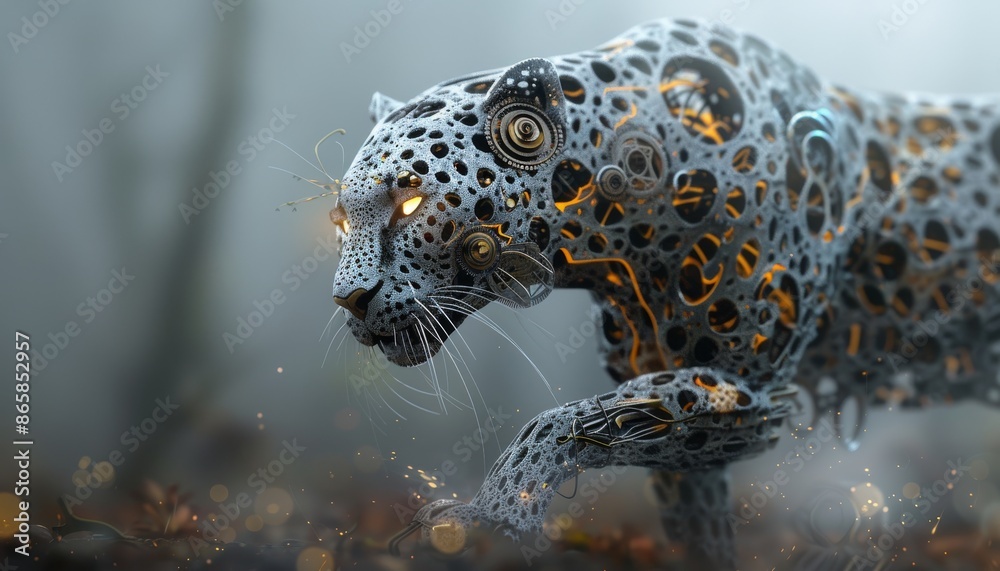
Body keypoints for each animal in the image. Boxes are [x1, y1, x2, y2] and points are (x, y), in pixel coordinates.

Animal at [328, 18, 1000, 568]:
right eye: (341, 218)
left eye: (409, 203)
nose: (348, 299)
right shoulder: (687, 412)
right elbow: (695, 528)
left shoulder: (750, 395)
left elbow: (559, 421)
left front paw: (492, 520)